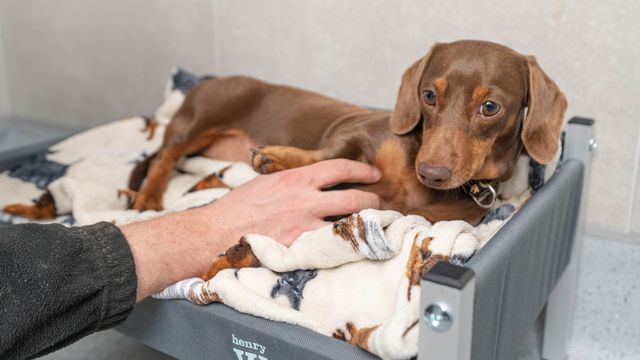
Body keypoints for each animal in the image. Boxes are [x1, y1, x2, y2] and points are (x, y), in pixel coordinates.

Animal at [3, 40, 564, 225]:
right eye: (428, 95)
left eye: (490, 107)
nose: (433, 170)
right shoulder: (352, 137)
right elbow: (325, 156)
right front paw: (276, 159)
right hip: (199, 120)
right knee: (161, 158)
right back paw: (150, 195)